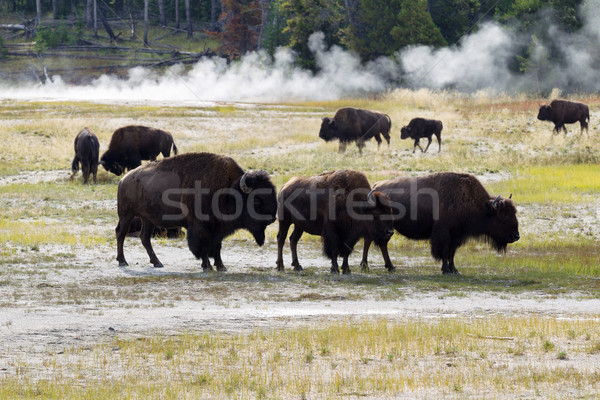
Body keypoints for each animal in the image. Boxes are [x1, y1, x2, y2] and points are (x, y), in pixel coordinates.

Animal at [116, 152, 278, 270]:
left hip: (147, 219)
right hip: (126, 215)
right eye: (256, 201)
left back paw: (157, 262)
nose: (272, 218)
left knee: (145, 238)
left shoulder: (217, 229)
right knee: (121, 234)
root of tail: (124, 179)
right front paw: (207, 266)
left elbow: (217, 246)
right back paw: (123, 261)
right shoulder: (201, 227)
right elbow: (203, 246)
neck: (229, 191)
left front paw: (221, 266)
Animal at [360, 172, 520, 276]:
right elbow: (444, 251)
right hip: (380, 227)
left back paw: (390, 267)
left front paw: (455, 270)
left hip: (388, 229)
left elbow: (451, 253)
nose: (516, 236)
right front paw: (446, 270)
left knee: (382, 244)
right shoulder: (444, 233)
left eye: (514, 213)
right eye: (503, 215)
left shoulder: (457, 236)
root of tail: (375, 186)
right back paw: (367, 266)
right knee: (370, 241)